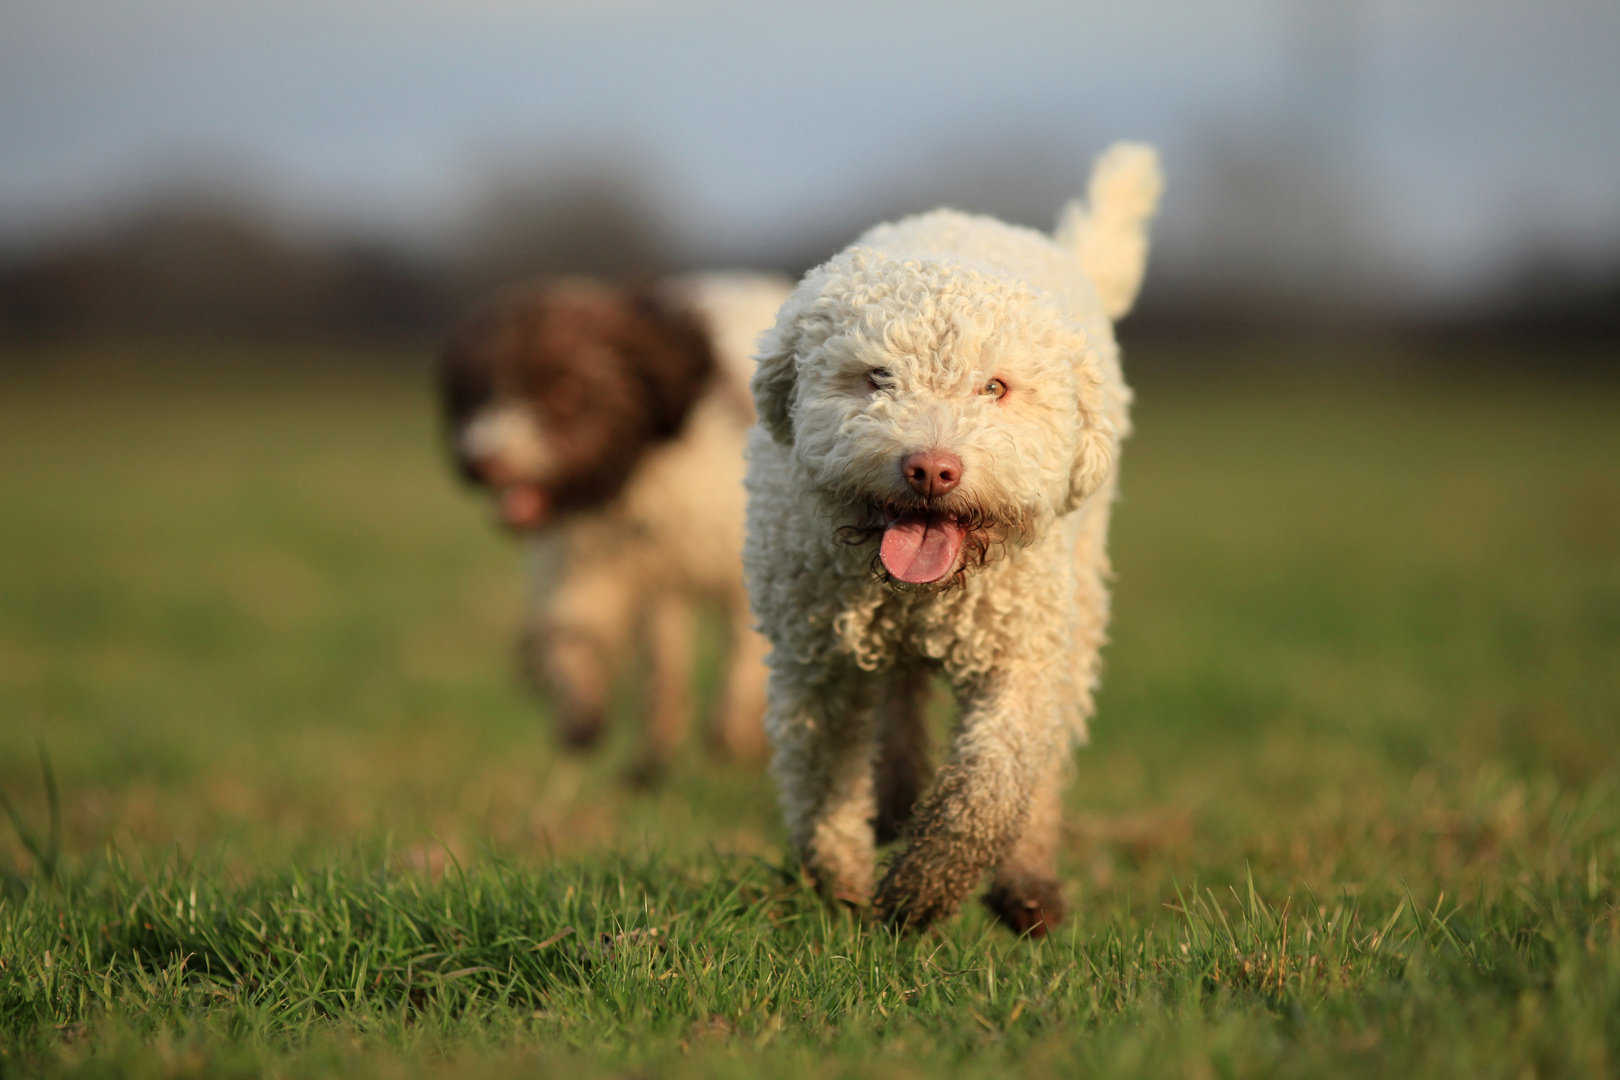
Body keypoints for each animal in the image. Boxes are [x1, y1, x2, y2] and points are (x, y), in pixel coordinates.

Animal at [437, 270, 790, 777]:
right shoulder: (588, 563)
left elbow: (745, 655)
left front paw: (733, 734)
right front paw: (580, 712)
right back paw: (652, 759)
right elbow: (574, 634)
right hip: (660, 598)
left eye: (564, 390)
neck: (635, 484)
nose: (481, 462)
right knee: (665, 670)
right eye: (481, 392)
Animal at [745, 145, 1166, 939]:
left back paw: (1027, 884)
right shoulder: (816, 659)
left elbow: (989, 785)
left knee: (1042, 763)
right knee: (898, 704)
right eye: (876, 378)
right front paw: (843, 889)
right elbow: (822, 780)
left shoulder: (1022, 657)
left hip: (1077, 616)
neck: (923, 593)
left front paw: (922, 891)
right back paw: (896, 797)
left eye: (994, 388)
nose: (931, 468)